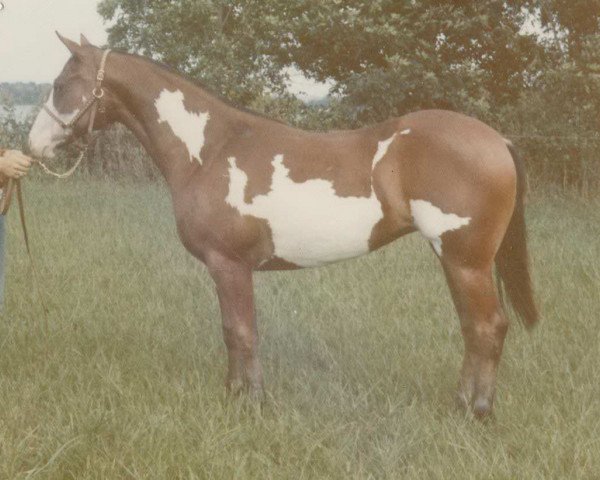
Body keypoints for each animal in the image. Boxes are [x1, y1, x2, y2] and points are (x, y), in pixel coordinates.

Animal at [28, 33, 536, 418]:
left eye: (62, 83)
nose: (33, 144)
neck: (210, 149)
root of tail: (496, 139)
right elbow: (234, 331)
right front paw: (236, 392)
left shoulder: (228, 264)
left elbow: (241, 332)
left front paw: (248, 401)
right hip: (456, 260)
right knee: (474, 328)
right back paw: (462, 404)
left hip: (465, 260)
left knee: (488, 327)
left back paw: (476, 412)